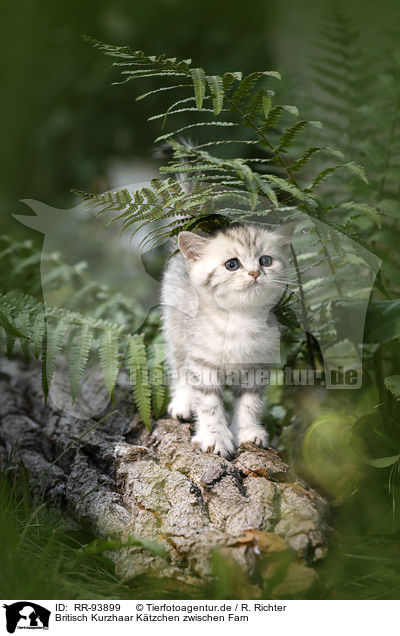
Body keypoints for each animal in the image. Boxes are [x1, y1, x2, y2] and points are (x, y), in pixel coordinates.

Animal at [161, 221, 296, 454]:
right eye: (232, 264)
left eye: (265, 260)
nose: (255, 273)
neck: (239, 320)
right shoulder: (202, 362)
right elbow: (209, 404)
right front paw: (215, 438)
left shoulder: (256, 365)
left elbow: (249, 403)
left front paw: (247, 431)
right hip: (176, 328)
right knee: (180, 366)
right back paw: (183, 402)